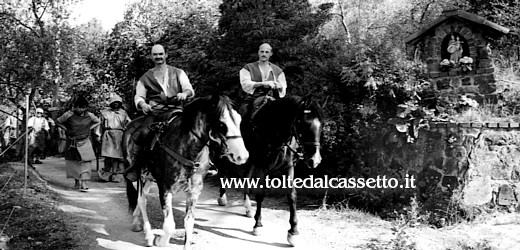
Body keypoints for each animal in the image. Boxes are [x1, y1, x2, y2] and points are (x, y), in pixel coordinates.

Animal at [125, 94, 249, 249]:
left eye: (239, 120)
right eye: (221, 124)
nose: (242, 156)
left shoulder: (194, 191)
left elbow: (189, 223)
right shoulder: (165, 188)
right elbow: (169, 225)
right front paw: (159, 241)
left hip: (148, 177)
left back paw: (136, 222)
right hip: (140, 174)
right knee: (142, 200)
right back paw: (148, 235)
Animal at [216, 94, 322, 247]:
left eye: (322, 125)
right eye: (304, 124)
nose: (315, 160)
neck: (274, 131)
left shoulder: (288, 168)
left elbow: (292, 196)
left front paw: (293, 232)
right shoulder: (262, 167)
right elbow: (260, 195)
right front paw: (258, 225)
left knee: (246, 178)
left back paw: (248, 208)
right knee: (223, 172)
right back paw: (222, 198)